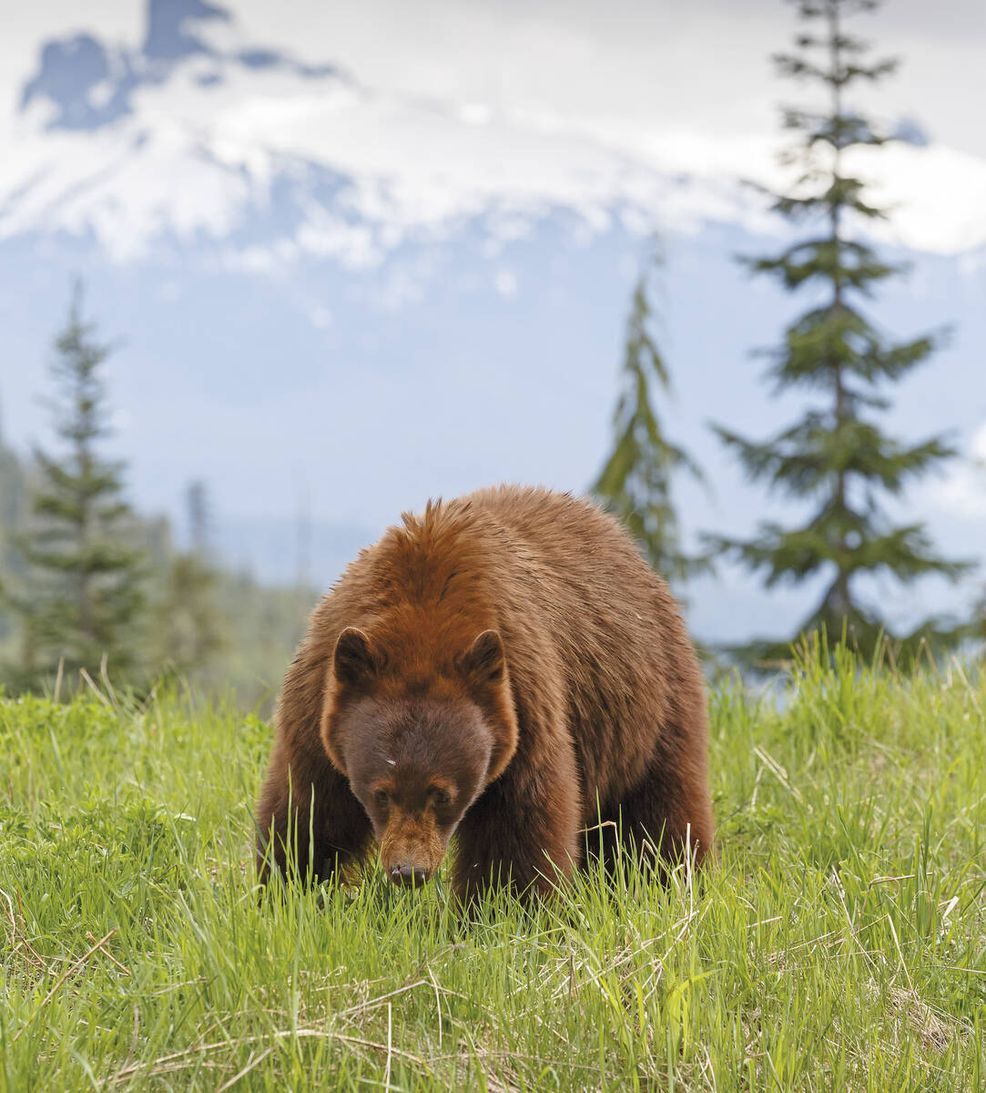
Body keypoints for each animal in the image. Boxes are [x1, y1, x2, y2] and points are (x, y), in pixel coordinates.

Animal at [256, 485, 713, 901]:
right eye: (381, 792)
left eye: (442, 794)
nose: (409, 871)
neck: (421, 622)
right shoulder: (320, 701)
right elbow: (308, 809)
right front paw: (286, 887)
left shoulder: (524, 704)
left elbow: (518, 830)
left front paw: (500, 909)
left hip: (650, 704)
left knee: (659, 813)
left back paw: (671, 879)